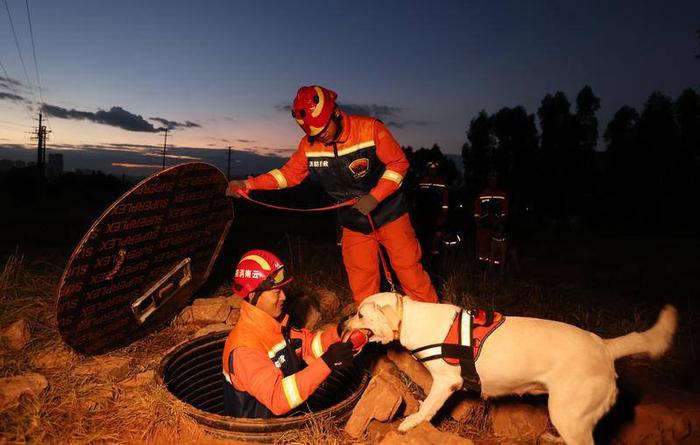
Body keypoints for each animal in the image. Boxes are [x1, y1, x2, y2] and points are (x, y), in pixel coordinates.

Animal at [342, 292, 676, 444]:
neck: (411, 318)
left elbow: (426, 410)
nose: (343, 325)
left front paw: (410, 423)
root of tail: (604, 346)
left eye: (360, 314)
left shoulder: (446, 383)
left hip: (569, 414)